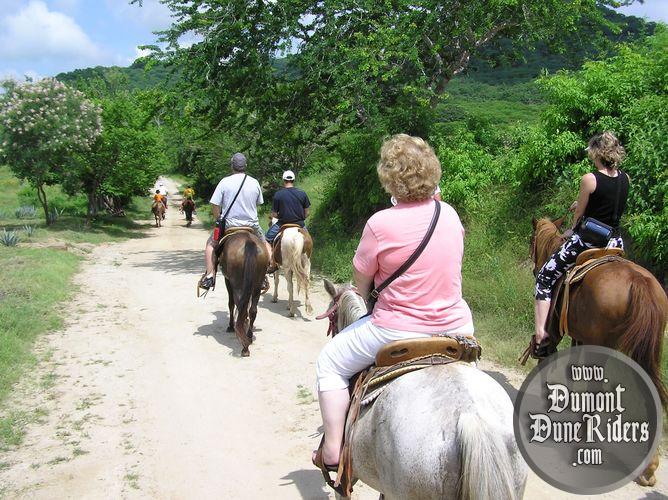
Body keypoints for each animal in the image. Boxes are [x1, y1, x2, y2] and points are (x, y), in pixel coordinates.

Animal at [532, 216, 668, 484]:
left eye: (532, 240)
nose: (533, 269)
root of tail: (638, 282)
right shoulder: (580, 337)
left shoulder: (558, 329)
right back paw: (649, 467)